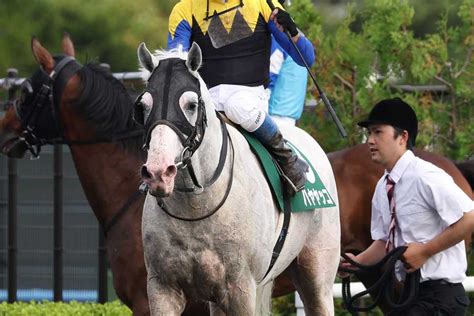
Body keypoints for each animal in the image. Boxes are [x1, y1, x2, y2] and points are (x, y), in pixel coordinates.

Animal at [134, 43, 340, 314]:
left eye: (191, 104)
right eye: (144, 106)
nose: (159, 172)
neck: (196, 207)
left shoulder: (240, 289)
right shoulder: (163, 287)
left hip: (317, 273)